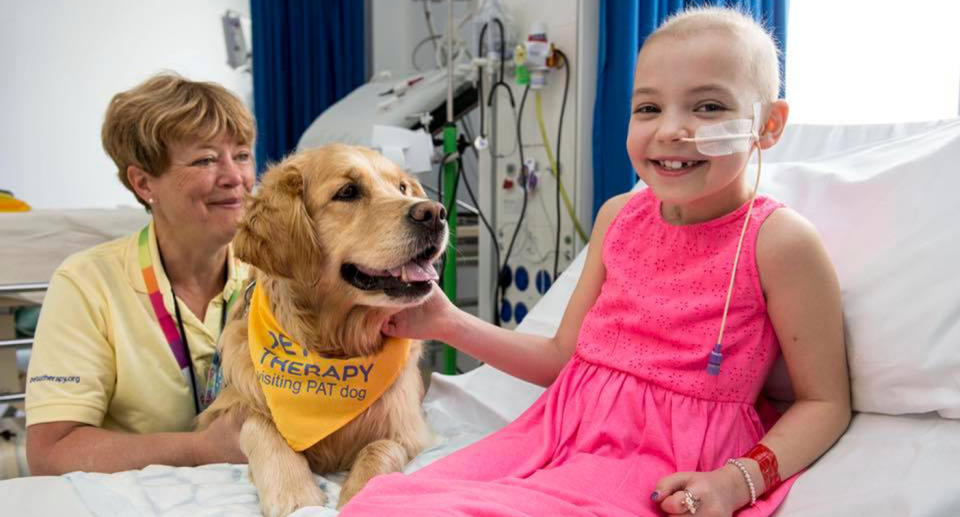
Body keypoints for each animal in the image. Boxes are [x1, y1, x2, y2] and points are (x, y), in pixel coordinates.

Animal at [201, 143, 448, 512]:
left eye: (402, 188)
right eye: (347, 192)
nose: (435, 213)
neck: (335, 348)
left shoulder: (409, 429)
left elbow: (380, 447)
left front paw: (363, 493)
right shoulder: (225, 410)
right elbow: (259, 425)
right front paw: (294, 494)